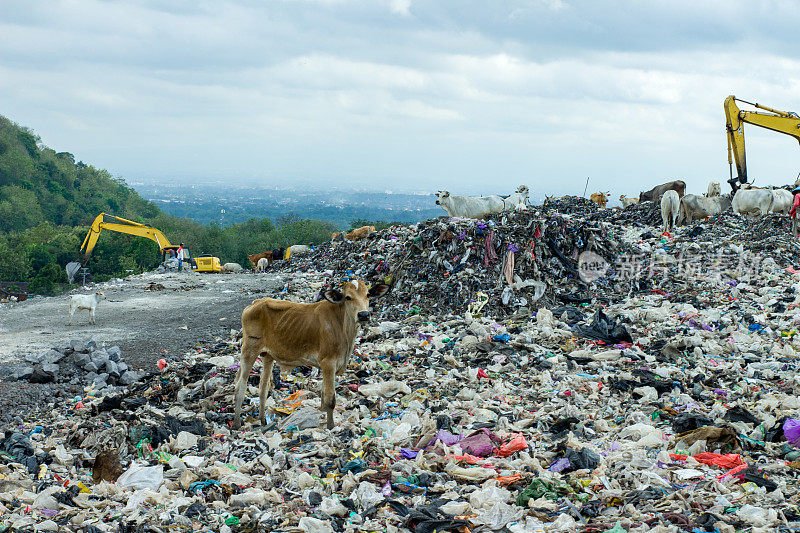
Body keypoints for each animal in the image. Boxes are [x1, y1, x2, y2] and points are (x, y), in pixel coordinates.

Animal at [231, 278, 390, 428]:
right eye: (348, 297)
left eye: (368, 295)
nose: (364, 315)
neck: (344, 328)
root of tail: (257, 302)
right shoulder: (328, 363)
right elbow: (330, 399)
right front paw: (331, 427)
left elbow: (323, 396)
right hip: (249, 349)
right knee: (240, 387)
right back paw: (237, 423)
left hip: (267, 356)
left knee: (263, 389)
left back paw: (263, 421)